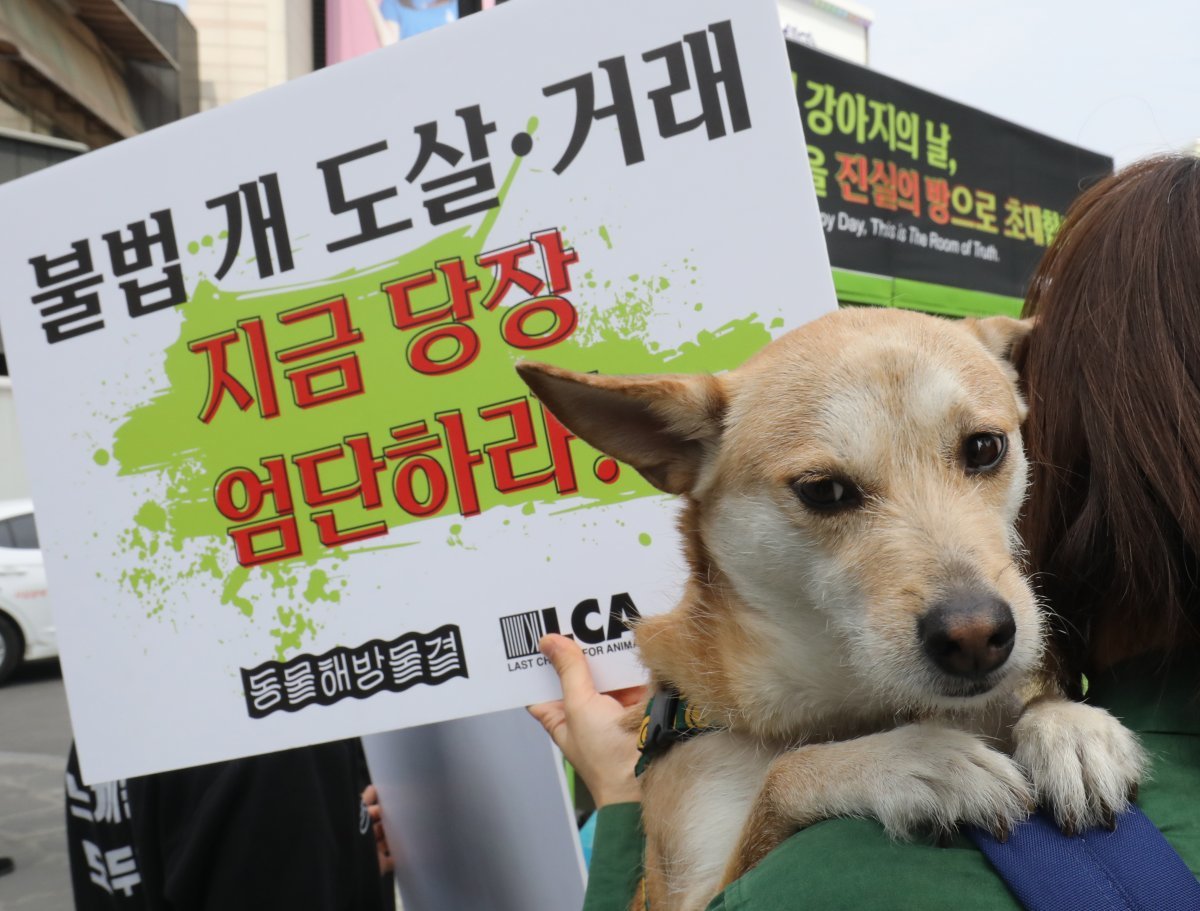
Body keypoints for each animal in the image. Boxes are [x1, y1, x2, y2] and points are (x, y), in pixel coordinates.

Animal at [516, 307, 1142, 911]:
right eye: (823, 491)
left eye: (985, 448)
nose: (977, 637)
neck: (851, 709)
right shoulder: (684, 894)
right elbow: (785, 773)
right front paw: (907, 758)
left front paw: (1067, 725)